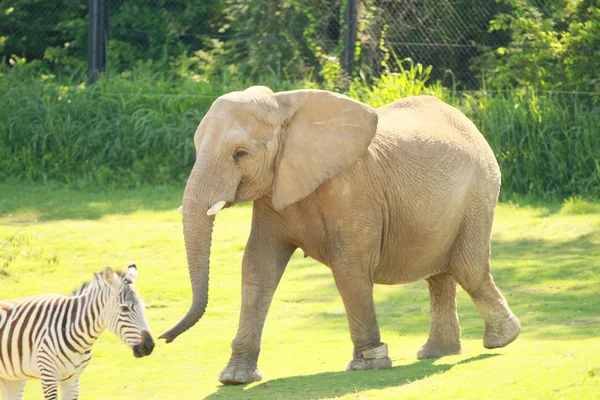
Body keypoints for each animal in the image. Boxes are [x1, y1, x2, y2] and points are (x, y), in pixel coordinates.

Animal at [1, 264, 155, 398]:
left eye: (143, 306)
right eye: (124, 308)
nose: (149, 346)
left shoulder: (73, 379)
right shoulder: (48, 374)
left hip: (13, 379)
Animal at [159, 86, 520, 384]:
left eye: (240, 154)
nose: (162, 339)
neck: (284, 107)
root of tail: (470, 123)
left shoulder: (352, 188)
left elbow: (349, 265)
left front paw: (369, 363)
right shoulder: (273, 191)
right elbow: (258, 266)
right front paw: (234, 378)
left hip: (479, 190)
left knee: (467, 268)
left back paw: (502, 339)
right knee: (441, 274)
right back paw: (437, 353)